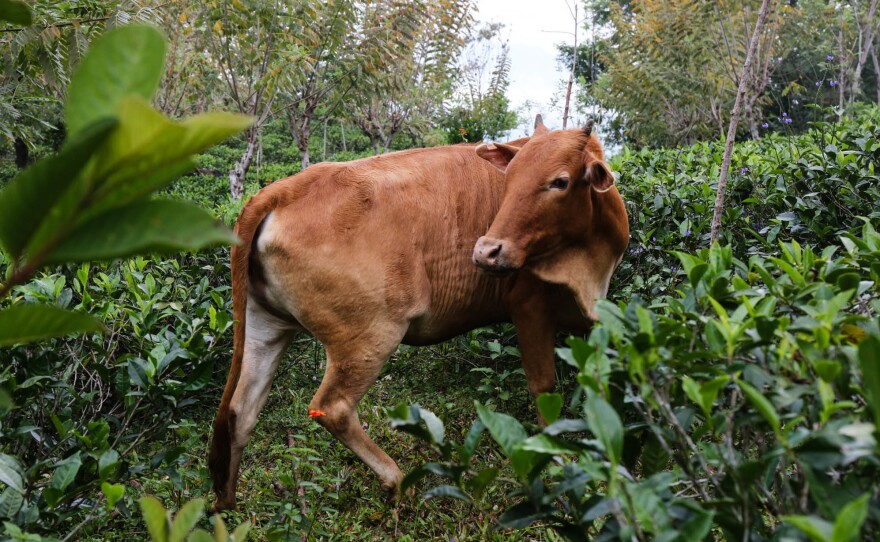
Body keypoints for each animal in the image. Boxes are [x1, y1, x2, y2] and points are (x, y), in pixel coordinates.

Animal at [208, 117, 629, 511]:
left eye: (560, 182)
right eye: (509, 178)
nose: (486, 252)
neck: (590, 258)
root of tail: (284, 189)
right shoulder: (530, 307)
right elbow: (544, 388)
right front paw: (556, 460)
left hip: (267, 326)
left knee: (241, 411)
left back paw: (227, 502)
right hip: (368, 336)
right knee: (332, 408)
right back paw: (396, 480)